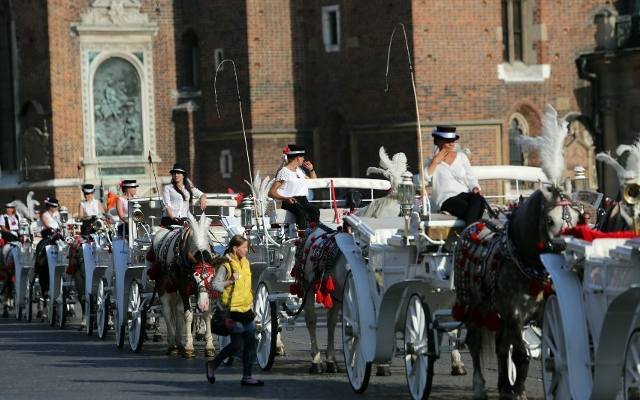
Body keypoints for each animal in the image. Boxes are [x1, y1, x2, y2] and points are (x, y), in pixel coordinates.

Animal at [147, 214, 225, 358]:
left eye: (212, 278)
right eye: (192, 277)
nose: (202, 304)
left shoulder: (206, 294)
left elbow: (207, 314)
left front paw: (209, 346)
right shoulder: (184, 290)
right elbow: (188, 315)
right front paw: (189, 347)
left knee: (177, 311)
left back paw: (179, 343)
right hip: (163, 288)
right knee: (167, 311)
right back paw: (172, 345)